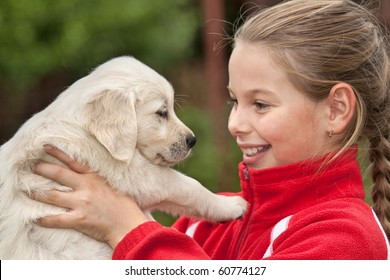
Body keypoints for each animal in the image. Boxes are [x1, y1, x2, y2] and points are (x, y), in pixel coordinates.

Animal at [0, 57, 247, 260]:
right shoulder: (133, 173)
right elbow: (189, 186)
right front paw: (231, 205)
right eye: (161, 112)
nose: (192, 140)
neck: (87, 132)